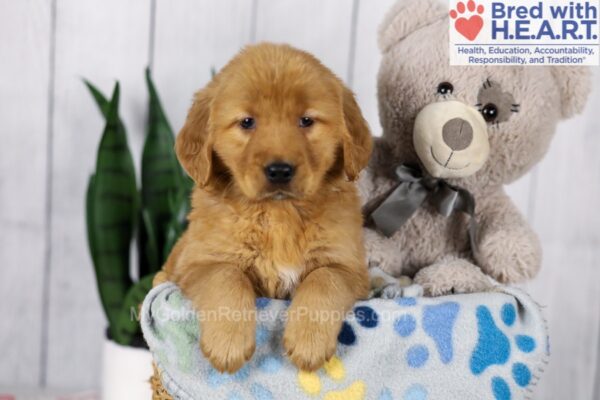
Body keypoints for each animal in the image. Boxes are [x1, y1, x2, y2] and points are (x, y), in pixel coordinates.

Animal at [159, 43, 376, 372]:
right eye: (247, 122)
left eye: (306, 121)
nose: (279, 171)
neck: (279, 213)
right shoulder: (197, 263)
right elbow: (227, 276)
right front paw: (228, 342)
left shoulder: (349, 267)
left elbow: (323, 279)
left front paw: (309, 341)